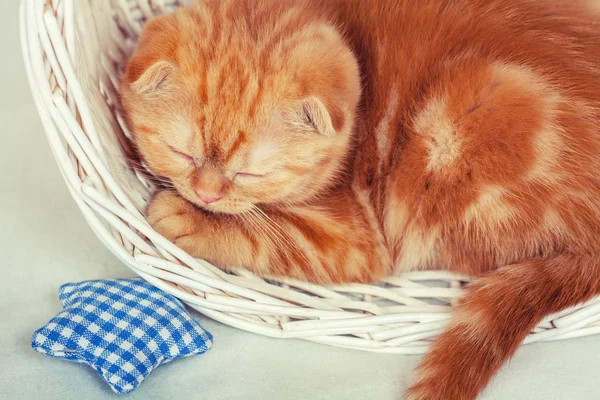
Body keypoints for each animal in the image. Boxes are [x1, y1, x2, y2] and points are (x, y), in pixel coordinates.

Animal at [122, 1, 600, 398]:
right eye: (181, 153)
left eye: (249, 173)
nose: (205, 192)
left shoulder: (353, 240)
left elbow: (268, 237)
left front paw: (185, 216)